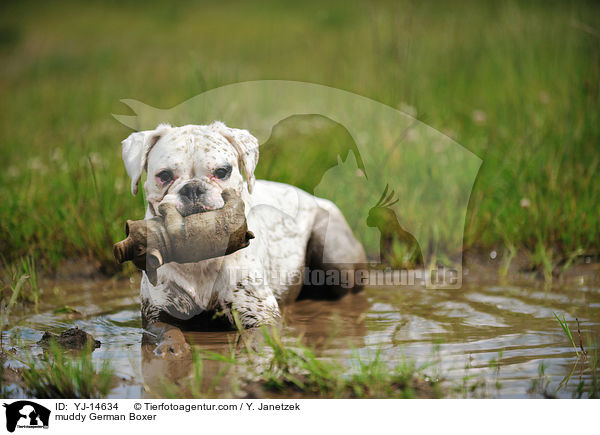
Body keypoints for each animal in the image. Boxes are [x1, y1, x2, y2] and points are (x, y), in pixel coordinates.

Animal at [120, 122, 366, 354]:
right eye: (164, 176)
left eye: (222, 172)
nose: (193, 188)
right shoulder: (158, 314)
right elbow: (168, 332)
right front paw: (172, 349)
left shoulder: (260, 315)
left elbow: (254, 340)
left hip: (333, 255)